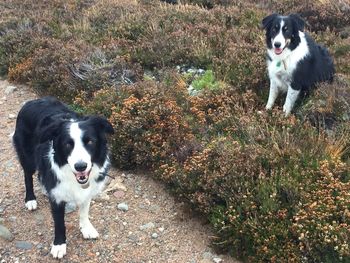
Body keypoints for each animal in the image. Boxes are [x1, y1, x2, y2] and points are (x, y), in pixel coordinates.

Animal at [12, 97, 113, 260]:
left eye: (90, 142)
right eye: (67, 144)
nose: (80, 166)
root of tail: (32, 101)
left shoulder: (87, 191)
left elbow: (84, 211)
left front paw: (86, 228)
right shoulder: (58, 197)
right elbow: (59, 224)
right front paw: (59, 245)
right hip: (27, 156)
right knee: (28, 176)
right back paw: (30, 199)